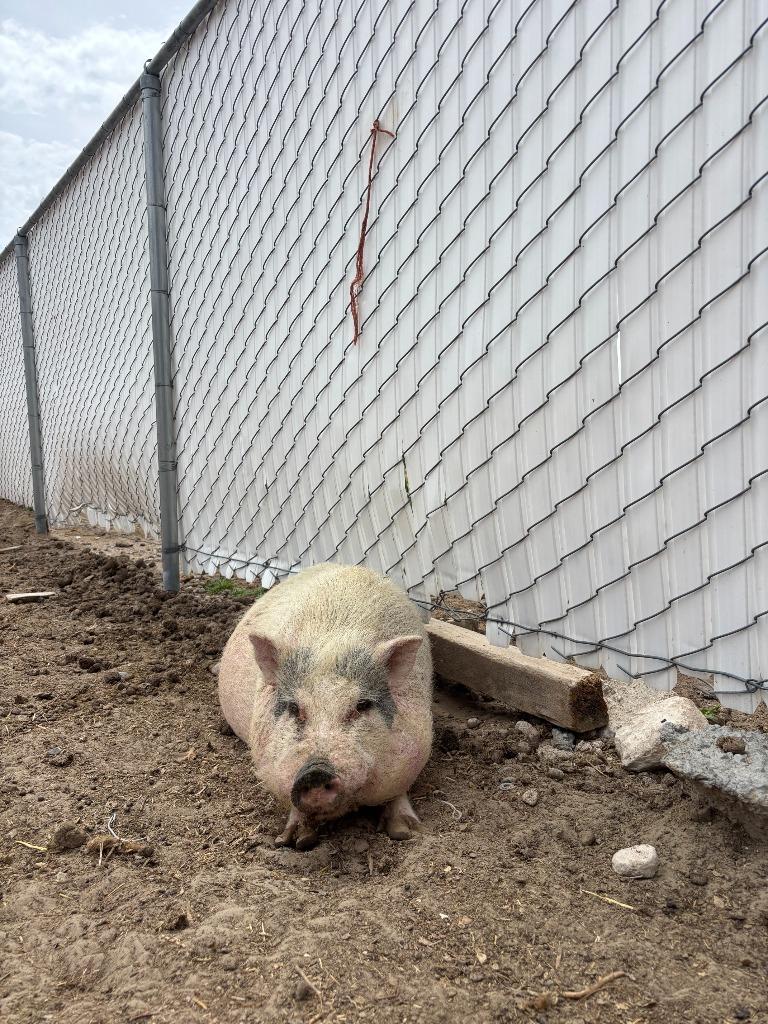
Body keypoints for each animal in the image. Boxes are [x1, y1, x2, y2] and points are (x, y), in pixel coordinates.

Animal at [218, 562, 433, 849]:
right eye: (294, 708)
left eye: (362, 705)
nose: (315, 772)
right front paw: (294, 841)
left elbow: (399, 792)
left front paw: (405, 832)